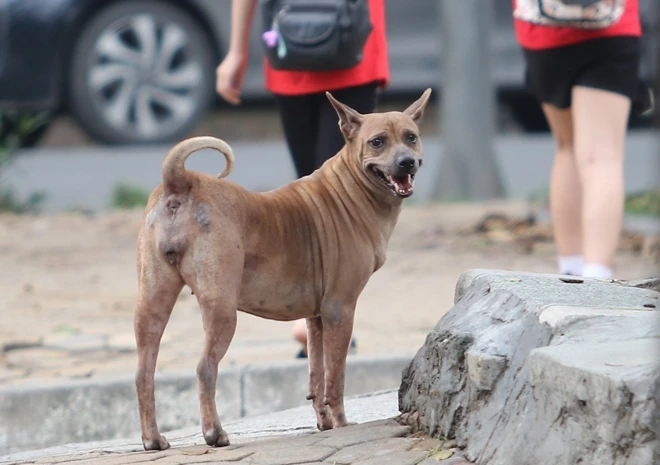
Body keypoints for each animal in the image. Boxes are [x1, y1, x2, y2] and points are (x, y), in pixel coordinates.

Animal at [134, 88, 434, 450]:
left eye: (411, 137)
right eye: (377, 142)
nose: (406, 162)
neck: (351, 190)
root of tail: (180, 181)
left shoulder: (317, 318)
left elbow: (317, 375)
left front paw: (325, 422)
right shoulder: (340, 310)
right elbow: (336, 377)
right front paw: (342, 424)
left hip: (153, 303)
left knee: (143, 374)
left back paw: (153, 439)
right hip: (221, 310)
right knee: (205, 368)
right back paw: (215, 433)